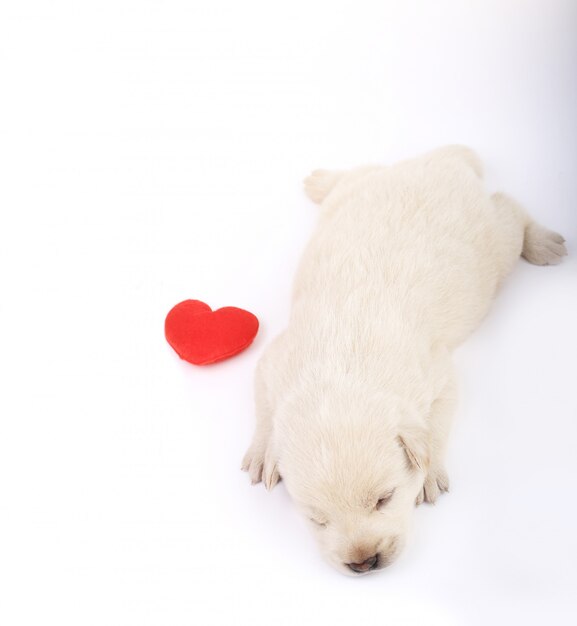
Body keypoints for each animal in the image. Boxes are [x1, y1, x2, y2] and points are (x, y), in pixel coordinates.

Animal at [241, 146, 564, 576]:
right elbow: (264, 406)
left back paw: (543, 242)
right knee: (359, 172)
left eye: (385, 497)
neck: (338, 371)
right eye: (317, 518)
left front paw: (429, 473)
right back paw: (321, 179)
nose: (365, 563)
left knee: (509, 209)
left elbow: (436, 425)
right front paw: (264, 451)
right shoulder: (273, 360)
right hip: (362, 188)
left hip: (495, 243)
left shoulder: (437, 373)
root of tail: (444, 161)